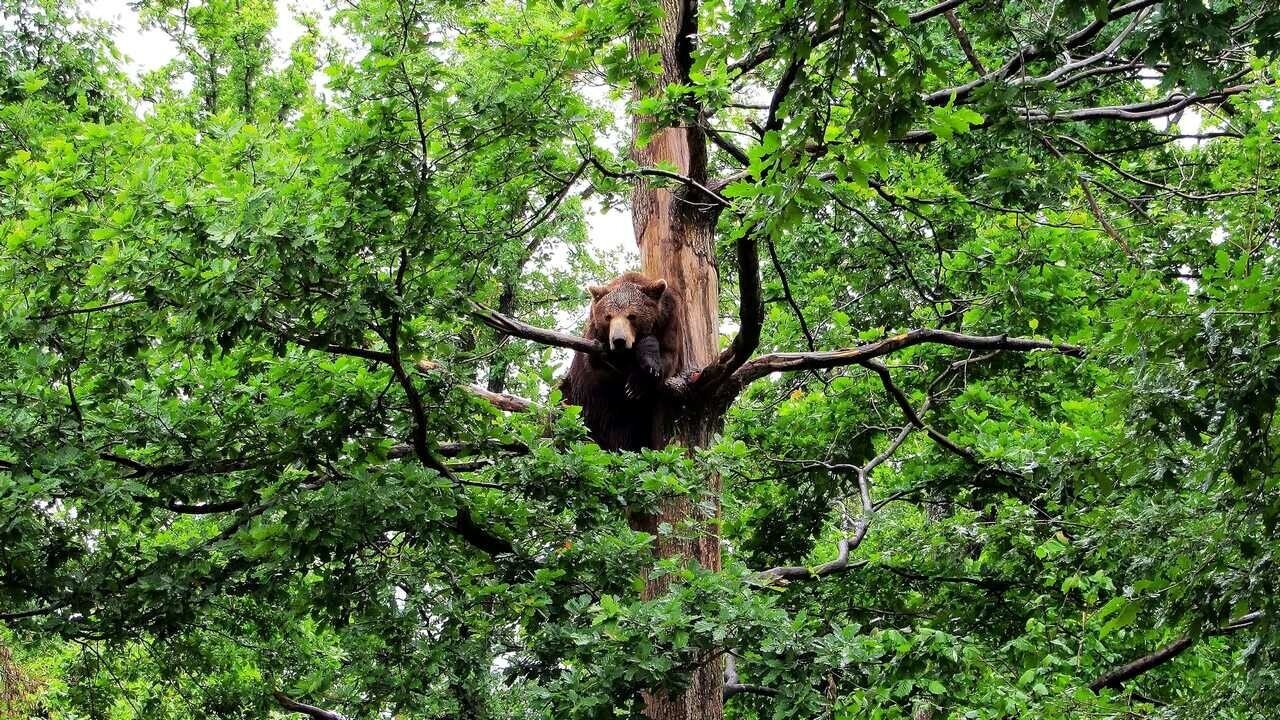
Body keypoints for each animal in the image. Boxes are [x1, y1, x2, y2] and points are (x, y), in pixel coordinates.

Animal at [558, 270, 680, 448]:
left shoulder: (668, 323)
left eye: (632, 316)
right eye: (608, 317)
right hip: (576, 400)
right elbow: (599, 366)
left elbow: (667, 359)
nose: (619, 340)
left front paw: (639, 381)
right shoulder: (594, 340)